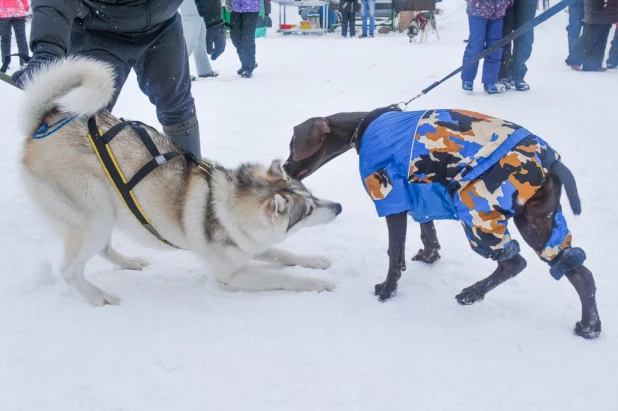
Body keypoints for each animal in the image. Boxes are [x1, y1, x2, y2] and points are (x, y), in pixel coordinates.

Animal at [18, 56, 342, 306]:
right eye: (308, 211)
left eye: (311, 194)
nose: (338, 207)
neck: (226, 207)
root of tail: (45, 124)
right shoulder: (232, 275)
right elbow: (282, 274)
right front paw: (315, 284)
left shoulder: (249, 246)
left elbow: (283, 253)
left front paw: (315, 261)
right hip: (95, 214)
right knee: (70, 271)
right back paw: (99, 297)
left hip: (107, 213)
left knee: (103, 249)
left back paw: (130, 263)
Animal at [282, 105, 600, 338]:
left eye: (292, 145)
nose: (284, 167)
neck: (364, 125)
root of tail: (551, 161)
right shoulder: (421, 193)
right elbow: (428, 232)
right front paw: (429, 255)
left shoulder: (392, 197)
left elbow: (394, 253)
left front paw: (387, 291)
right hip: (538, 223)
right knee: (577, 271)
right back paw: (590, 327)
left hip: (477, 210)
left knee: (513, 262)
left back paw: (472, 293)